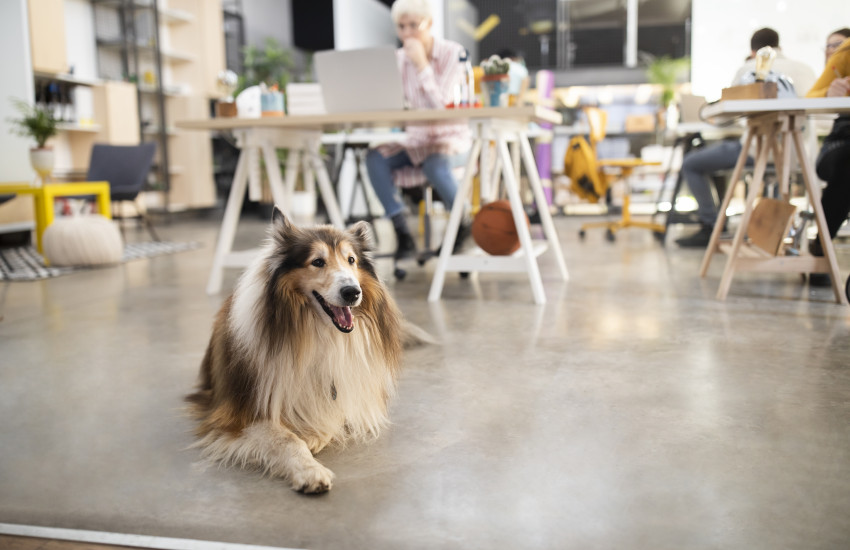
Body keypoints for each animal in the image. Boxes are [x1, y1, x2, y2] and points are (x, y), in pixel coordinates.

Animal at [186, 208, 410, 496]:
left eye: (351, 260)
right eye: (317, 261)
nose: (352, 292)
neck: (316, 331)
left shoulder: (343, 391)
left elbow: (328, 417)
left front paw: (312, 435)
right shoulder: (240, 413)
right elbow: (286, 439)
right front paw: (310, 471)